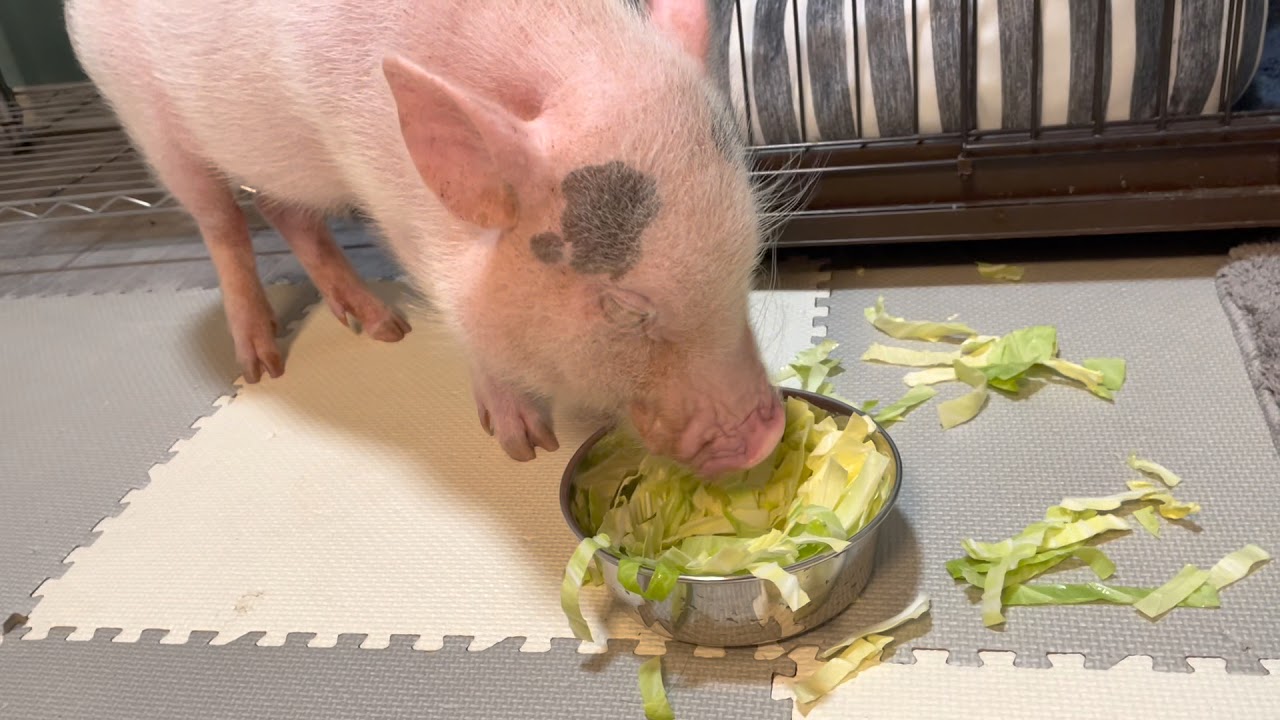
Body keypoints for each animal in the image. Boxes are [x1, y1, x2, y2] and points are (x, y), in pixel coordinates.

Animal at [64, 0, 786, 476]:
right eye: (626, 307)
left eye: (747, 258)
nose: (767, 438)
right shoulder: (392, 202)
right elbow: (461, 318)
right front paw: (526, 447)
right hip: (147, 119)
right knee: (221, 222)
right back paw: (263, 365)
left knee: (283, 208)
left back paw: (384, 329)